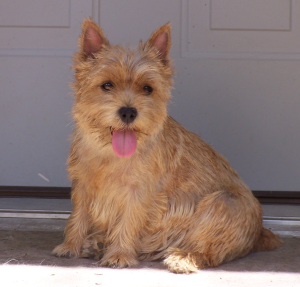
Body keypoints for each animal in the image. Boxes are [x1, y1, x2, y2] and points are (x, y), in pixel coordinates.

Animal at [52, 18, 282, 274]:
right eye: (107, 85)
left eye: (147, 88)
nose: (128, 112)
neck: (109, 154)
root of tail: (260, 231)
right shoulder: (82, 184)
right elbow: (79, 216)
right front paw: (70, 245)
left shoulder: (138, 193)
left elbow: (128, 221)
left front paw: (119, 254)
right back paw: (97, 243)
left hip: (222, 203)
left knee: (206, 249)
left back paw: (181, 258)